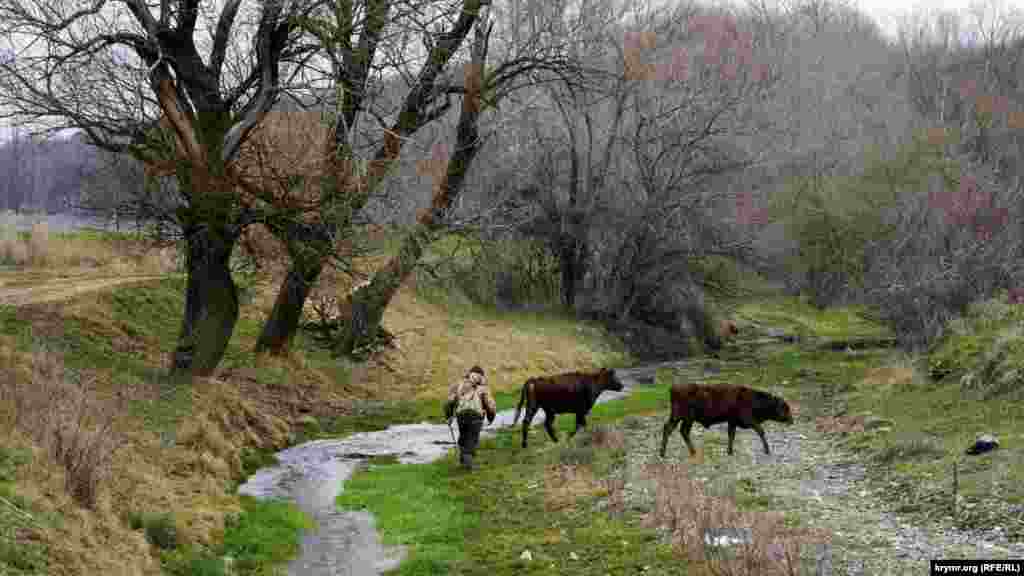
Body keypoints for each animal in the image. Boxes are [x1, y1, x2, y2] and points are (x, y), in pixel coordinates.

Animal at [659, 381, 794, 457]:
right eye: (784, 408)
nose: (791, 421)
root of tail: (673, 388)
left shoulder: (732, 421)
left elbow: (731, 435)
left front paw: (730, 451)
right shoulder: (748, 420)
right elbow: (760, 431)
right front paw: (767, 450)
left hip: (678, 418)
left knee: (671, 429)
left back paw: (665, 453)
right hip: (685, 418)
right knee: (680, 431)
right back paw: (688, 452)